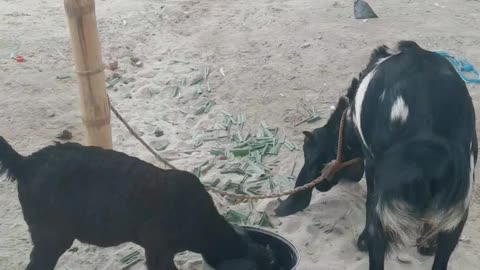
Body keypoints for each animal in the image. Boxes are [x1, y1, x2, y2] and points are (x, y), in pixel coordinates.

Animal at [276, 40, 474, 270]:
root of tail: (427, 149)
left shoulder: (371, 165)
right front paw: (426, 245)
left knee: (377, 244)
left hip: (385, 209)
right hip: (457, 212)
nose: (320, 185)